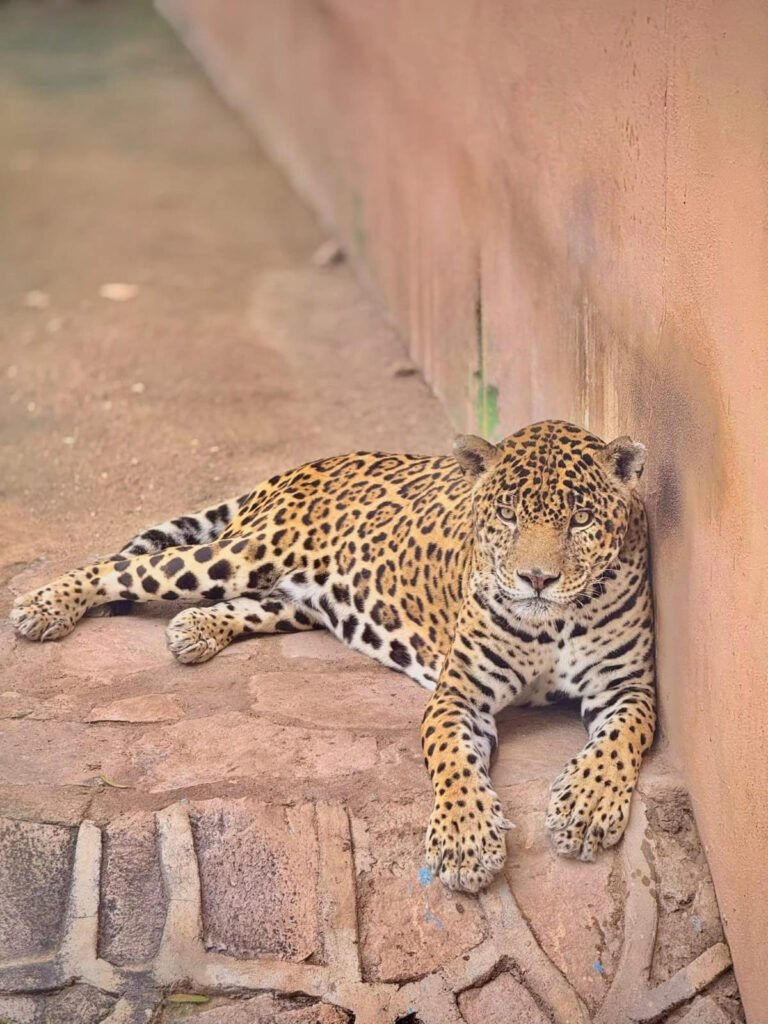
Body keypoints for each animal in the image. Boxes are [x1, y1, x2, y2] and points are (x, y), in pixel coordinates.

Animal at [10, 419, 656, 893]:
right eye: (507, 514)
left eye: (581, 518)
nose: (537, 579)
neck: (555, 621)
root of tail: (304, 466)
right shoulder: (459, 696)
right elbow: (452, 764)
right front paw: (465, 843)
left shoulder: (629, 689)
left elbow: (622, 739)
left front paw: (586, 806)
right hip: (238, 554)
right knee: (124, 566)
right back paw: (45, 605)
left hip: (300, 597)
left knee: (252, 604)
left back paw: (195, 629)